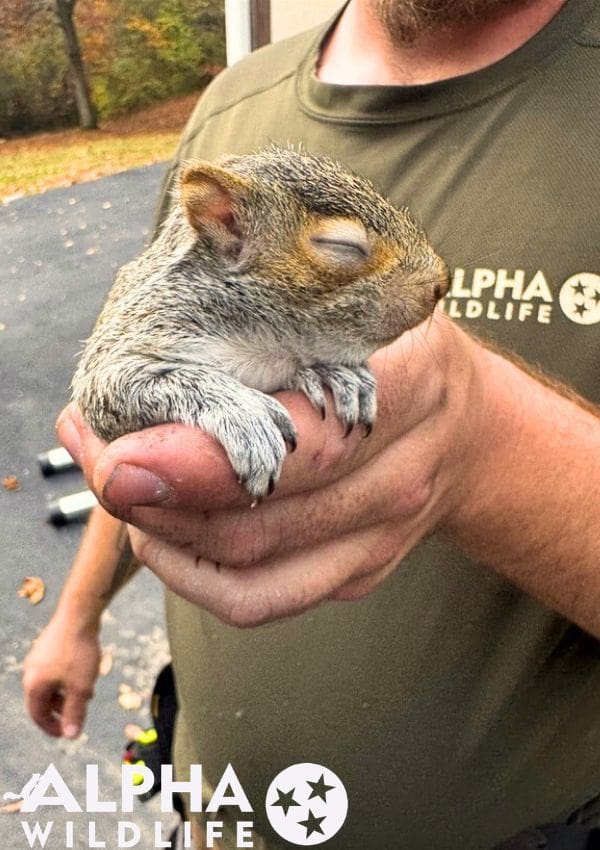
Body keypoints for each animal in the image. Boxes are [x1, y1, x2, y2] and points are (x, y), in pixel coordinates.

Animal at [71, 146, 449, 501]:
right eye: (342, 246)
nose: (440, 284)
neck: (264, 341)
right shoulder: (140, 329)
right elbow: (120, 383)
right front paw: (243, 412)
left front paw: (340, 376)